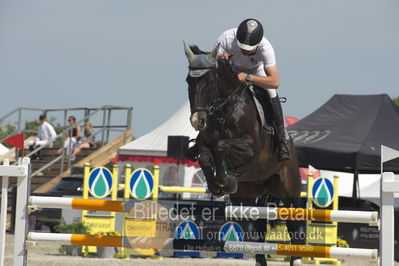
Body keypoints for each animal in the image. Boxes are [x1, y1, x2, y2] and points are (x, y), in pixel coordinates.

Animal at [184, 42, 304, 264]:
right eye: (189, 80)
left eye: (209, 81)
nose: (198, 121)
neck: (224, 111)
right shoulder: (205, 144)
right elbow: (204, 155)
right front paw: (219, 185)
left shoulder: (250, 148)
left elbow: (222, 146)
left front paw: (226, 181)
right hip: (249, 195)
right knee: (257, 227)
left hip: (288, 188)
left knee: (294, 223)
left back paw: (297, 258)